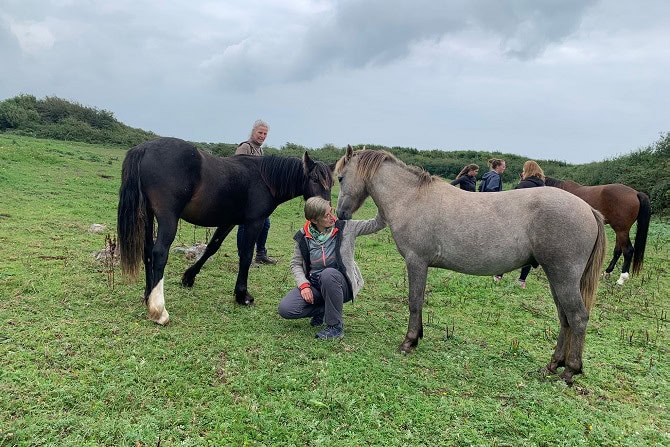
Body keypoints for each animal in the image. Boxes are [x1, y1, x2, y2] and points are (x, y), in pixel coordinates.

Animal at [119, 137, 334, 326]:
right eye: (314, 179)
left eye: (332, 183)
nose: (327, 213)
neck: (263, 179)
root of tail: (144, 148)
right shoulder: (254, 222)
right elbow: (245, 256)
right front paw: (242, 295)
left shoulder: (228, 222)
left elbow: (212, 247)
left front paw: (189, 277)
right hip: (167, 218)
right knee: (159, 253)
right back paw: (159, 310)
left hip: (147, 215)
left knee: (147, 251)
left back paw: (148, 297)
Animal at [336, 148, 608, 384]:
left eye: (340, 177)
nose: (340, 214)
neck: (412, 198)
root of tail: (588, 208)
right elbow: (420, 301)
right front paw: (417, 338)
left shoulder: (416, 262)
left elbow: (414, 302)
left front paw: (408, 342)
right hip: (557, 279)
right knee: (565, 319)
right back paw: (553, 365)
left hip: (563, 277)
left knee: (577, 317)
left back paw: (570, 370)